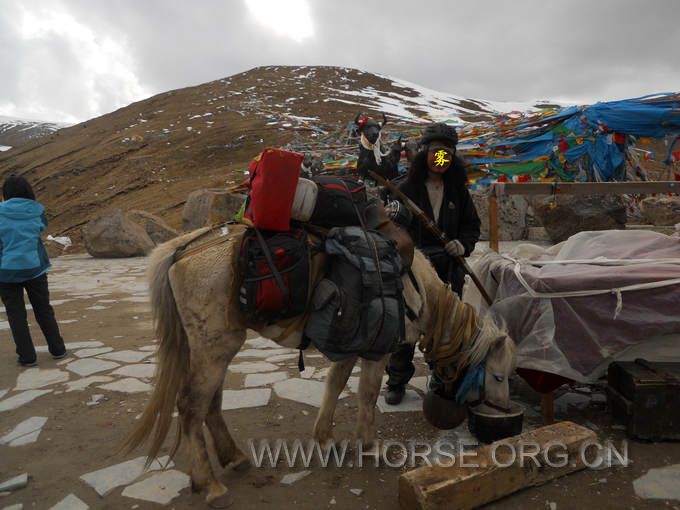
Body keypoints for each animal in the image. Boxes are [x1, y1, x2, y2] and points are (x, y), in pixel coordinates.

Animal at [125, 224, 512, 506]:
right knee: (192, 405)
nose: (505, 410)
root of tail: (180, 251)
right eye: (497, 375)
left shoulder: (351, 347)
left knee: (210, 403)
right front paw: (368, 446)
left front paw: (324, 438)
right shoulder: (378, 352)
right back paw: (209, 483)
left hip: (213, 348)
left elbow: (336, 384)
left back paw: (230, 458)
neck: (414, 287)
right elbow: (367, 393)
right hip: (215, 346)